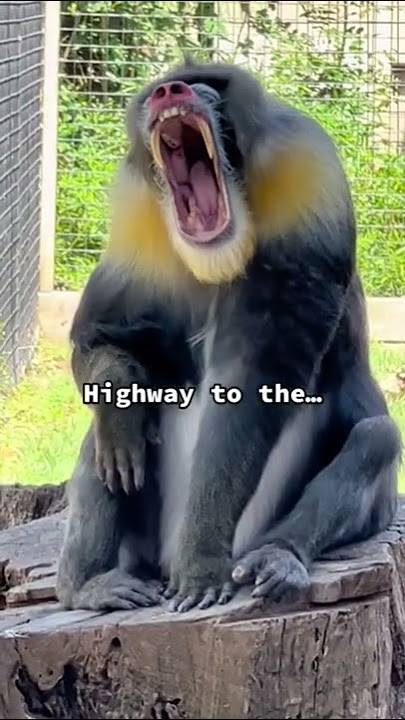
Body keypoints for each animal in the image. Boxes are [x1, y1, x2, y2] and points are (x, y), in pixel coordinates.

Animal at [56, 58, 402, 614]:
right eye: (161, 90)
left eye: (207, 87)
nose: (172, 92)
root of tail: (161, 561)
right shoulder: (135, 221)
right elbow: (103, 336)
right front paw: (122, 416)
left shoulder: (304, 171)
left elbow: (253, 379)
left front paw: (201, 563)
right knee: (104, 440)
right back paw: (89, 584)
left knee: (377, 438)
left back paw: (275, 559)